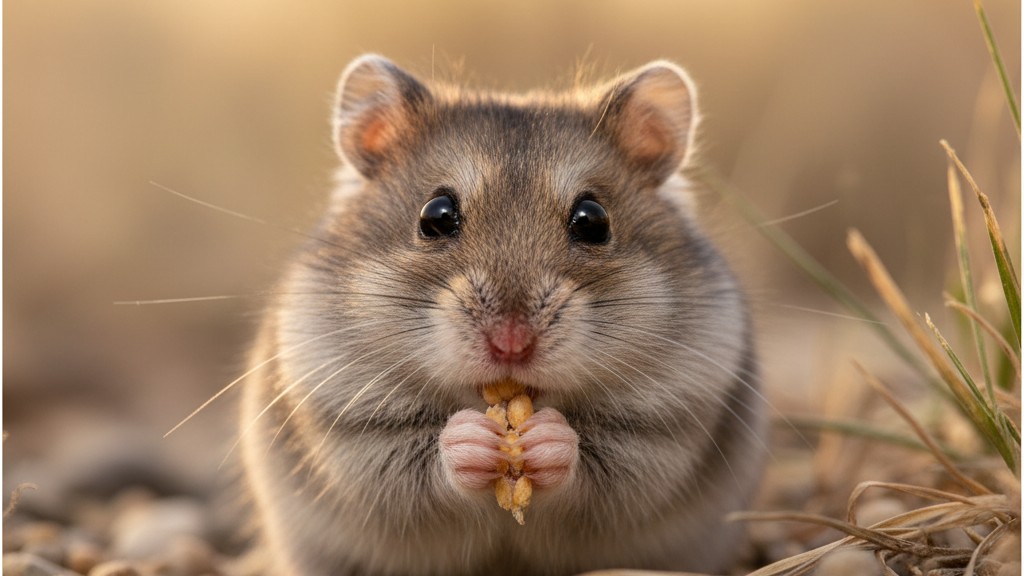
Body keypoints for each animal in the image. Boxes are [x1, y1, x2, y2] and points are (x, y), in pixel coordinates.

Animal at [238, 54, 766, 576]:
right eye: (435, 215)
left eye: (593, 221)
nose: (511, 344)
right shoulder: (353, 429)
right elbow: (420, 461)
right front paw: (474, 439)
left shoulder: (664, 429)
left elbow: (594, 464)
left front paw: (544, 438)